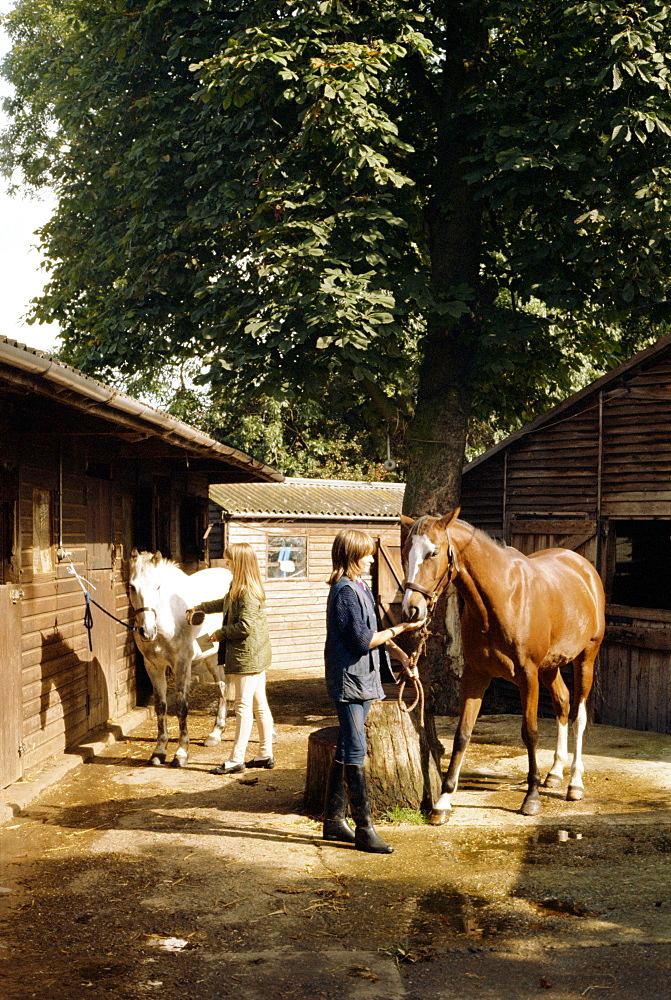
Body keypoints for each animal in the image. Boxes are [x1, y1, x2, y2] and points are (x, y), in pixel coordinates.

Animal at [129, 556, 234, 764]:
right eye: (132, 586)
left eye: (158, 586)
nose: (147, 631)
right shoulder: (153, 666)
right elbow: (160, 706)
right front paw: (159, 751)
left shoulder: (182, 664)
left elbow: (181, 705)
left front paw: (181, 752)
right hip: (213, 657)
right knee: (222, 686)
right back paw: (215, 734)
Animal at [402, 512, 608, 824]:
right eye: (406, 552)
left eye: (433, 553)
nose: (411, 609)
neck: (502, 598)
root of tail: (583, 567)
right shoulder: (476, 675)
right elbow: (462, 734)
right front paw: (443, 801)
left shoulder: (528, 676)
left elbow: (530, 733)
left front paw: (531, 798)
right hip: (551, 666)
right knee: (562, 702)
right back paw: (555, 774)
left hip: (585, 658)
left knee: (578, 716)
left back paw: (575, 783)